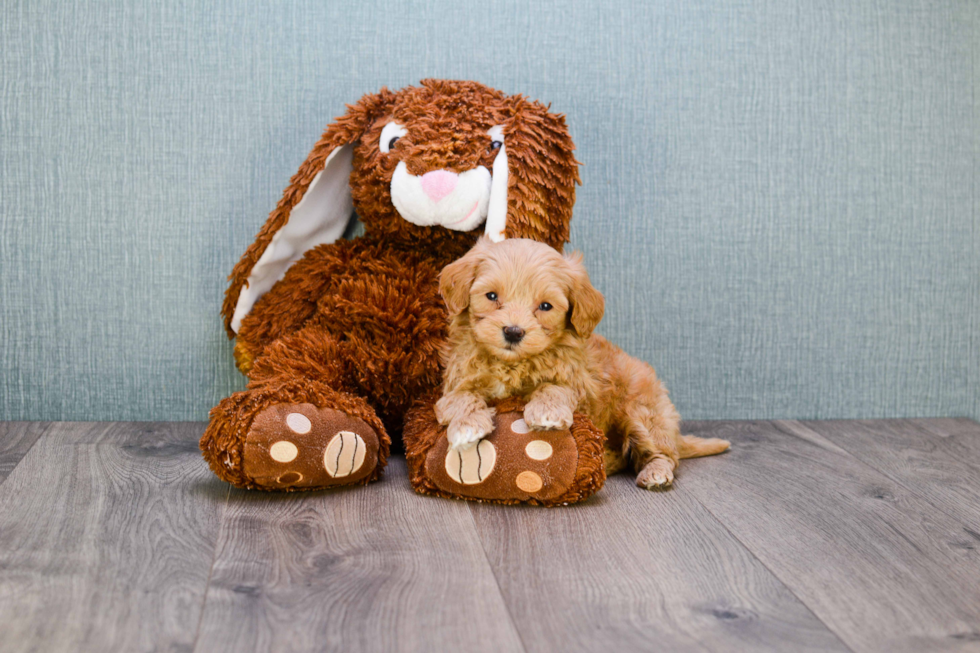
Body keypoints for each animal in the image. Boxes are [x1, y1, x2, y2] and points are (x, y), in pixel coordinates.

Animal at [436, 237, 728, 486]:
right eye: (492, 296)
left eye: (545, 306)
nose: (513, 332)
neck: (512, 364)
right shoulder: (454, 382)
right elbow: (461, 398)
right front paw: (468, 426)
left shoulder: (578, 382)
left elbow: (554, 387)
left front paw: (547, 412)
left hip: (643, 412)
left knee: (664, 453)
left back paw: (655, 472)